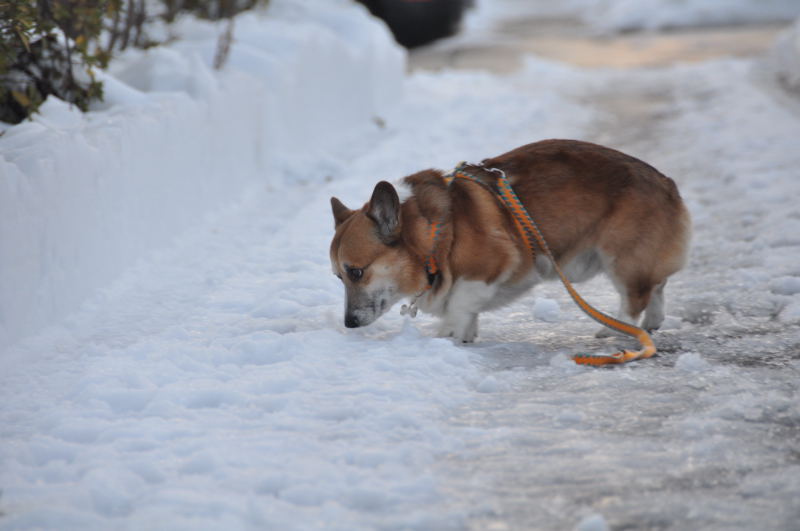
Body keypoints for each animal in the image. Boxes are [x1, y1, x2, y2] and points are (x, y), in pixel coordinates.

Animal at [328, 139, 692, 342]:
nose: (349, 324)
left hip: (620, 258)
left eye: (356, 271)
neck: (434, 234)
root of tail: (668, 183)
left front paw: (446, 335)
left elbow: (459, 302)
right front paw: (464, 336)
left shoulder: (489, 266)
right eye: (338, 277)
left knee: (635, 297)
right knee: (656, 287)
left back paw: (615, 330)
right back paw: (653, 323)